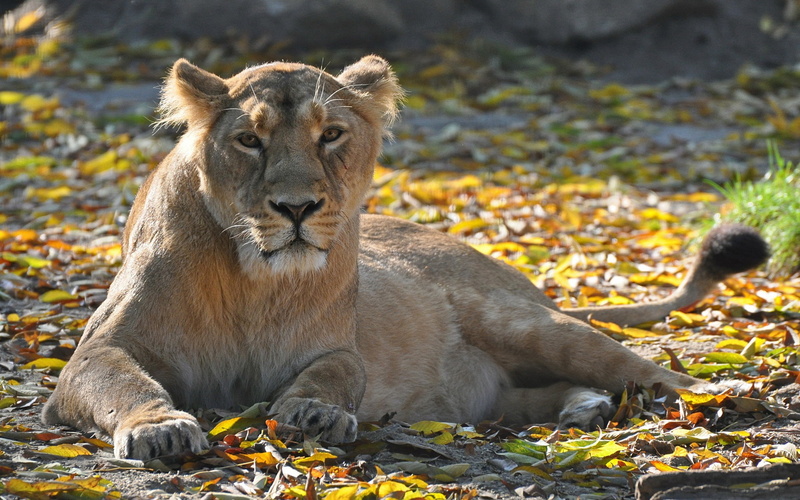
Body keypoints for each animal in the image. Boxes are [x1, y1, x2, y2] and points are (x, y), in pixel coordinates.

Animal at [42, 56, 769, 461]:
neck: (255, 280)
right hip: (491, 387)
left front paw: (312, 414)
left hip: (529, 324)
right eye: (249, 139)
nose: (297, 208)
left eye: (331, 135)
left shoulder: (335, 348)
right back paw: (583, 408)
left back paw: (728, 396)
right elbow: (125, 382)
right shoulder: (97, 351)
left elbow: (334, 375)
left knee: (655, 374)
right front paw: (160, 429)